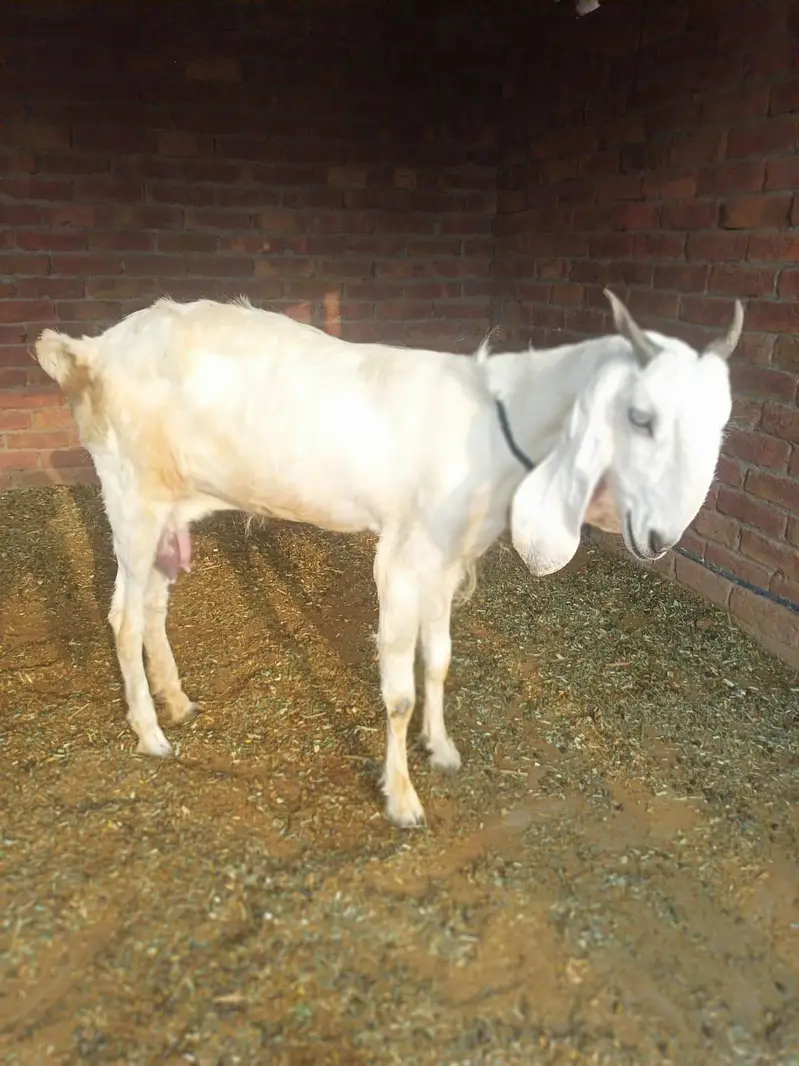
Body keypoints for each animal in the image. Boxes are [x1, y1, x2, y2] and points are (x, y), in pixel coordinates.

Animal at [34, 290, 742, 827]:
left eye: (723, 421)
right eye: (641, 417)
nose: (661, 536)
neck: (494, 422)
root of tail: (90, 353)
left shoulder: (446, 555)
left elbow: (440, 660)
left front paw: (442, 746)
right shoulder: (402, 554)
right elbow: (399, 690)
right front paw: (402, 798)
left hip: (168, 511)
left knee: (153, 605)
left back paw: (177, 701)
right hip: (131, 497)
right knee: (123, 615)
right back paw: (151, 733)